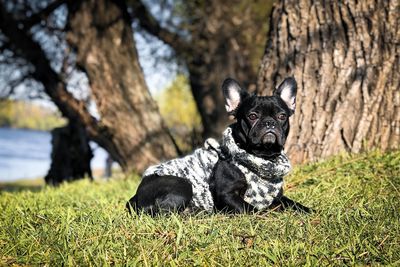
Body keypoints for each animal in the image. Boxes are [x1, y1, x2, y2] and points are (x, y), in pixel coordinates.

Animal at [126, 77, 310, 216]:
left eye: (282, 116)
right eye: (252, 116)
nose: (269, 122)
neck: (263, 156)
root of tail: (136, 196)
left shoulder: (277, 197)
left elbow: (292, 203)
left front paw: (308, 211)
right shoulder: (227, 194)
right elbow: (251, 209)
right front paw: (266, 215)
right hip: (183, 184)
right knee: (164, 212)